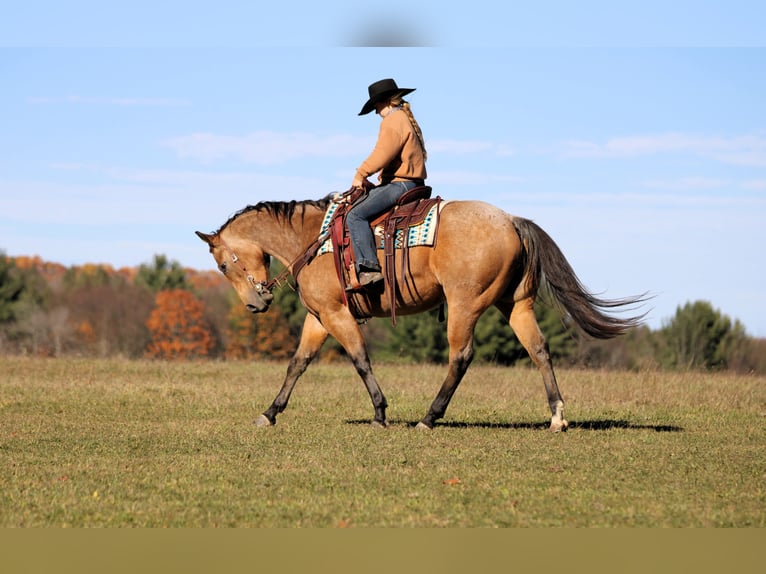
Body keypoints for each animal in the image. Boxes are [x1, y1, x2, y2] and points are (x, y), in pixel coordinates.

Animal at [196, 195, 646, 431]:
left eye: (222, 264)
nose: (255, 304)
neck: (313, 239)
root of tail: (511, 220)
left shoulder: (337, 314)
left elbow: (359, 359)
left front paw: (380, 413)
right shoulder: (319, 317)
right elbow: (298, 364)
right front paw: (270, 412)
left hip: (465, 305)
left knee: (461, 357)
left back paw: (430, 417)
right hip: (515, 304)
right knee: (539, 350)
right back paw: (556, 417)